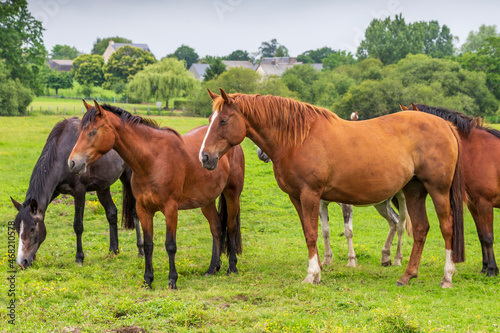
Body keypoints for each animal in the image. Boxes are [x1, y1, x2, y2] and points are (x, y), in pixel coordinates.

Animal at [10, 116, 143, 268]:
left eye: (32, 228)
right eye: (16, 228)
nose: (22, 262)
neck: (62, 153)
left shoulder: (79, 191)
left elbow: (78, 225)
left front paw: (79, 257)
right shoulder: (54, 191)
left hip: (128, 179)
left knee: (134, 212)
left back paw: (140, 250)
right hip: (103, 187)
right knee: (112, 213)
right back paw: (113, 251)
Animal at [68, 99, 244, 288]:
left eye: (92, 132)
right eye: (80, 132)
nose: (72, 162)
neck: (153, 160)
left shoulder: (170, 209)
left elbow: (170, 245)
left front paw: (172, 280)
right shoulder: (143, 209)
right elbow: (148, 245)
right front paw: (148, 280)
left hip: (232, 195)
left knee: (231, 227)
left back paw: (232, 267)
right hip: (207, 201)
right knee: (216, 228)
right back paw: (213, 268)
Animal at [258, 147, 410, 266]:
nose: (260, 154)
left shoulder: (346, 205)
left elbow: (348, 231)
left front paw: (351, 261)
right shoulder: (321, 204)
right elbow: (325, 231)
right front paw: (327, 260)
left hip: (402, 199)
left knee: (401, 225)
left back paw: (397, 259)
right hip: (381, 204)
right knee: (394, 222)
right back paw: (385, 257)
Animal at [404, 103, 500, 274]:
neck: (478, 152)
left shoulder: (485, 204)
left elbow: (488, 236)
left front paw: (492, 269)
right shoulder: (475, 205)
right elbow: (482, 235)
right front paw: (485, 268)